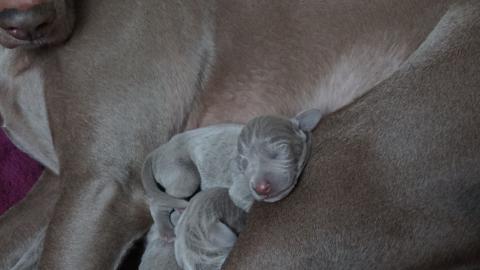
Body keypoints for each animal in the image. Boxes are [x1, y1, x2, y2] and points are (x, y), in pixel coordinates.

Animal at [142, 108, 322, 242]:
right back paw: (166, 230)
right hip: (184, 176)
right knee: (157, 201)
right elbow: (244, 199)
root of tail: (160, 149)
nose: (261, 188)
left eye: (280, 150)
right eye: (243, 161)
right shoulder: (240, 188)